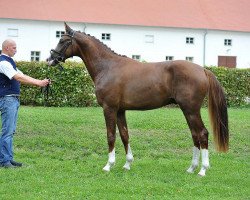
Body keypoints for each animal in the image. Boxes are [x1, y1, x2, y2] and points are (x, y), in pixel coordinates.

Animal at [47, 23, 229, 176]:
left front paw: (108, 165)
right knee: (195, 135)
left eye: (63, 40)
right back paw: (192, 168)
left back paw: (202, 170)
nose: (50, 60)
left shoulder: (109, 108)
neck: (108, 67)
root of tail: (203, 70)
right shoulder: (120, 110)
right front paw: (127, 164)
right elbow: (124, 135)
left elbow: (111, 135)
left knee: (202, 134)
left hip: (191, 110)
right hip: (188, 111)